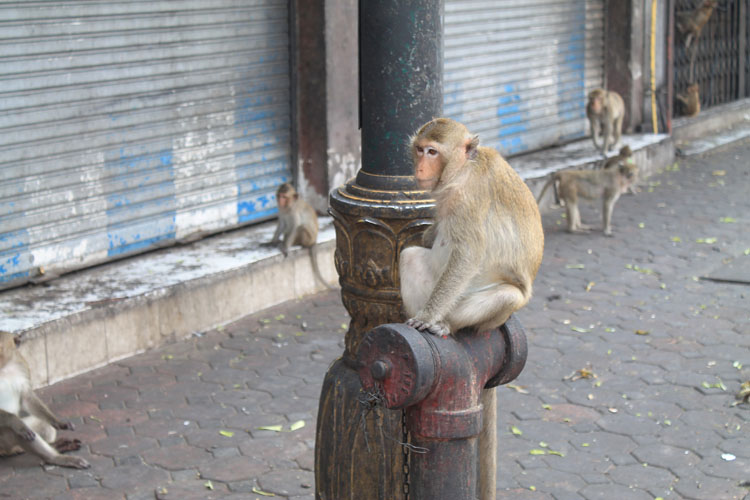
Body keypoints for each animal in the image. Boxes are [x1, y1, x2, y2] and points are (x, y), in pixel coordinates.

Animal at [0, 332, 90, 468]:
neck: (3, 367)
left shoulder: (20, 365)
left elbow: (26, 397)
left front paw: (58, 422)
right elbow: (17, 424)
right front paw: (16, 423)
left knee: (43, 425)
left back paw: (57, 446)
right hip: (1, 440)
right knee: (14, 431)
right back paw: (54, 458)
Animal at [400, 118, 548, 500]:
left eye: (432, 152)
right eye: (419, 149)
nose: (418, 168)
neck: (463, 169)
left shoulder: (468, 199)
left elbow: (467, 254)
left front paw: (426, 320)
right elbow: (428, 241)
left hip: (491, 309)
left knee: (506, 295)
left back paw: (442, 325)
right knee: (411, 256)